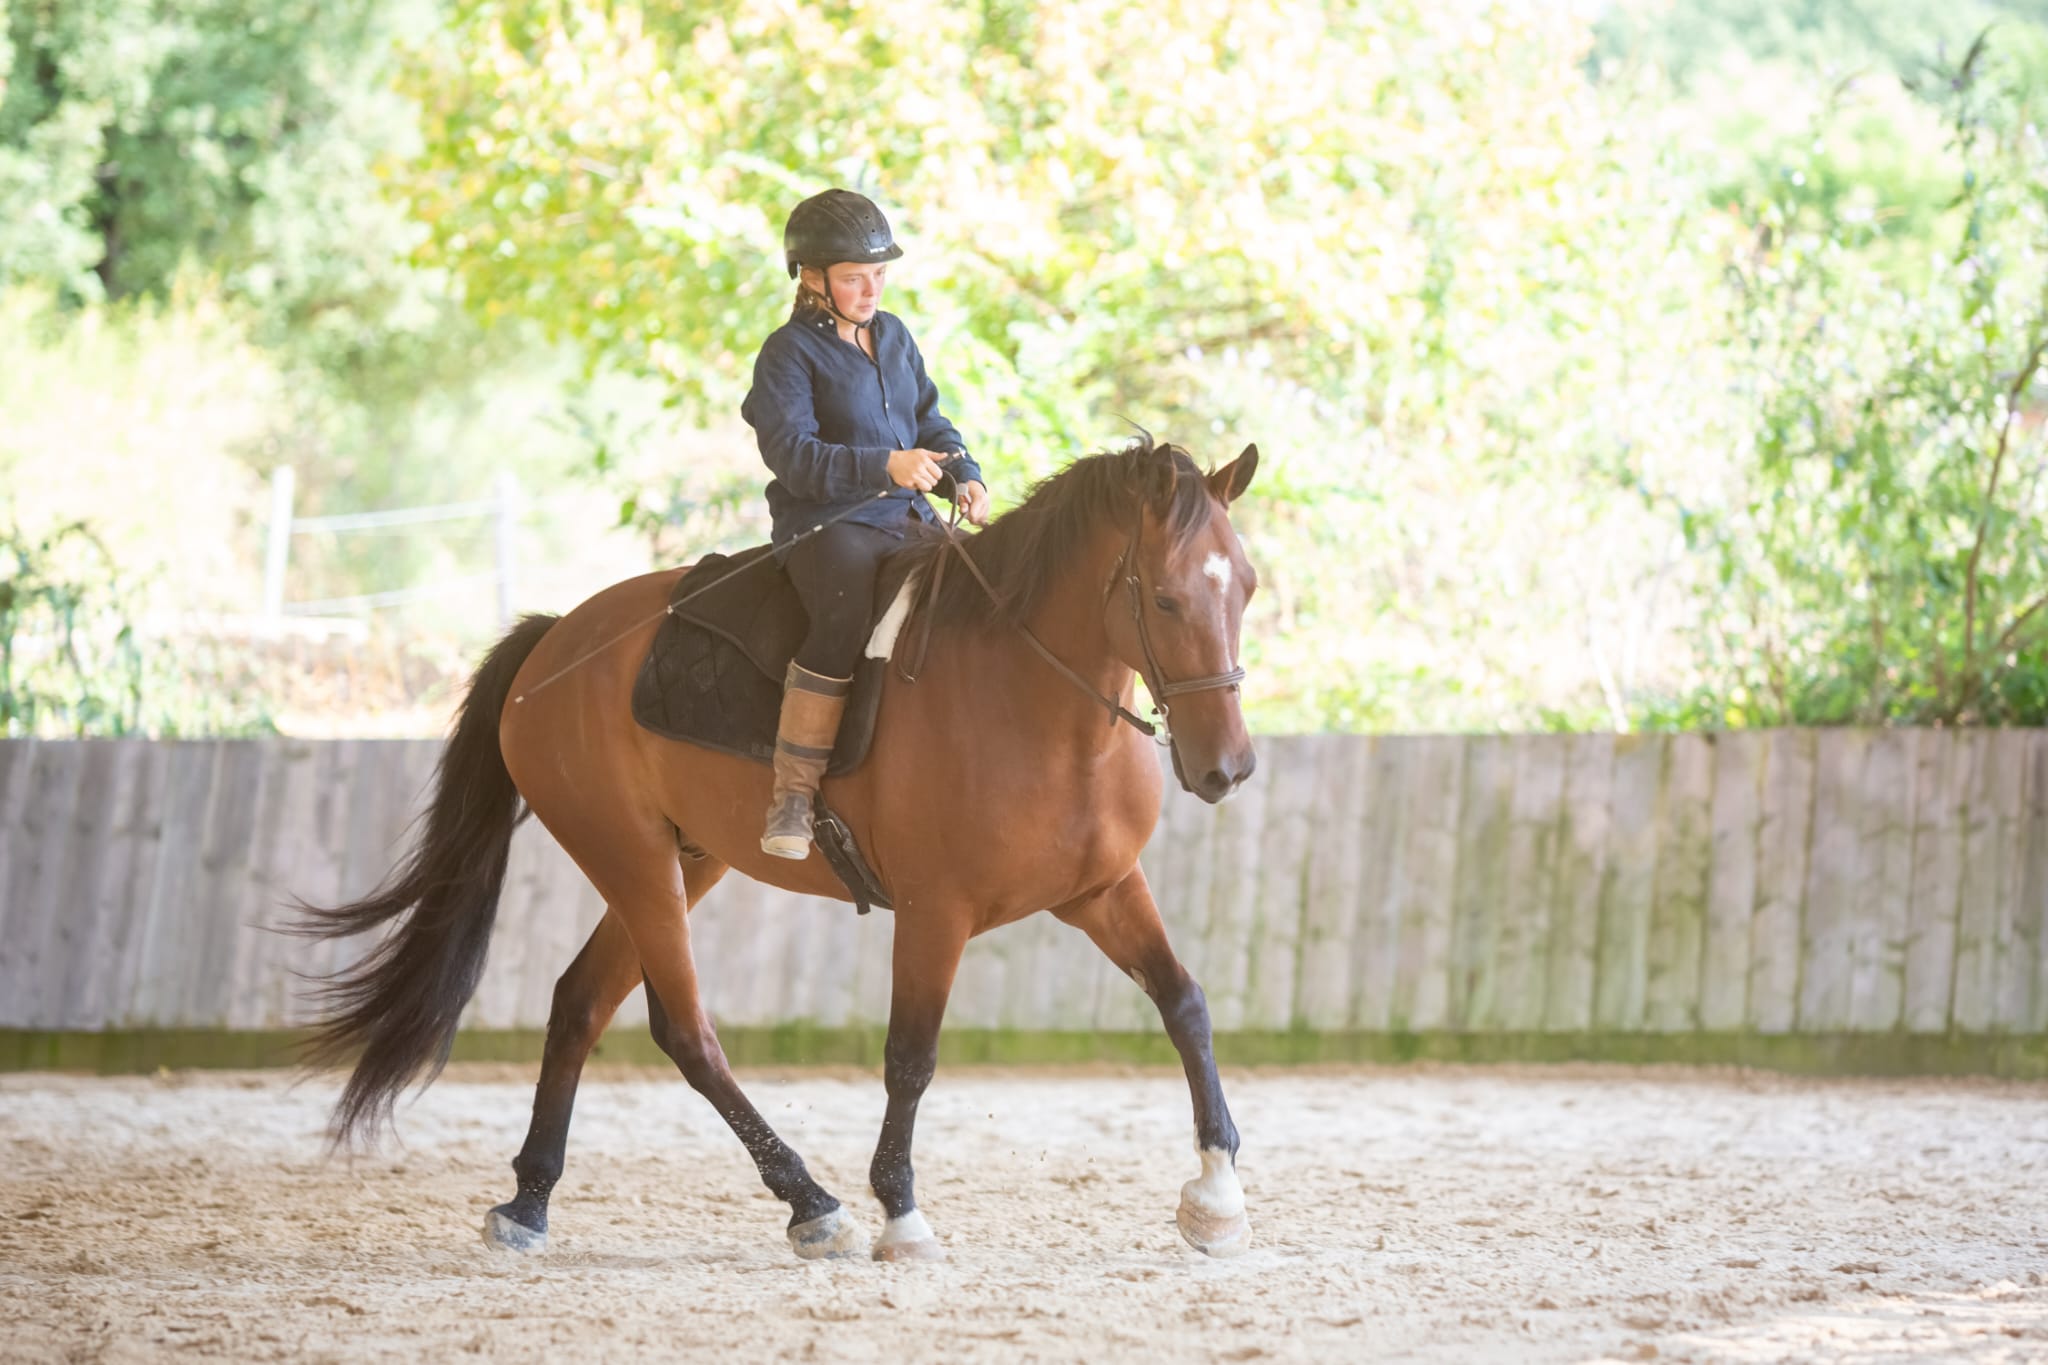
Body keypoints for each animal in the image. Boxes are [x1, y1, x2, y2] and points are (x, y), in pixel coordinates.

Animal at [296, 434, 1261, 1263]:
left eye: (1245, 587)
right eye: (1166, 597)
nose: (1229, 768)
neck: (1035, 700)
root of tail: (559, 636)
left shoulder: (1105, 889)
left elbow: (1186, 1002)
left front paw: (1217, 1196)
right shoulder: (935, 913)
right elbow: (910, 1058)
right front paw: (901, 1214)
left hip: (685, 860)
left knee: (580, 1002)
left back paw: (530, 1201)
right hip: (631, 858)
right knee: (686, 1030)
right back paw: (812, 1202)